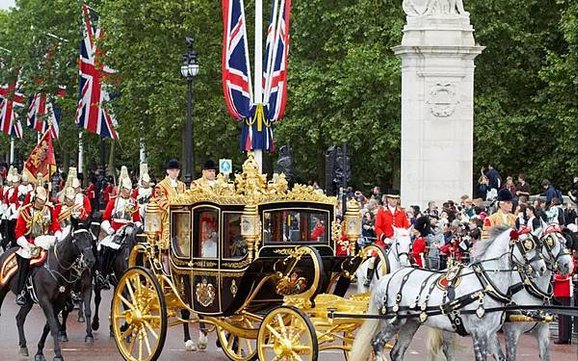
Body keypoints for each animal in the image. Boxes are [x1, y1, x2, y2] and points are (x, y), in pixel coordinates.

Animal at [0, 228, 95, 360]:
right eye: (76, 240)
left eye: (90, 238)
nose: (90, 261)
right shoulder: (46, 301)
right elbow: (53, 325)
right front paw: (58, 353)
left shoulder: (68, 297)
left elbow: (49, 325)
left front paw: (39, 352)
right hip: (2, 290)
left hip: (28, 301)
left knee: (19, 318)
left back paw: (23, 346)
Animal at [346, 225, 544, 360]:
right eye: (526, 245)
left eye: (539, 245)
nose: (542, 268)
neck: (486, 284)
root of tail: (389, 277)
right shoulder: (479, 334)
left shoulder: (490, 333)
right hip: (395, 320)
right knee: (377, 343)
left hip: (411, 322)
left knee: (396, 352)